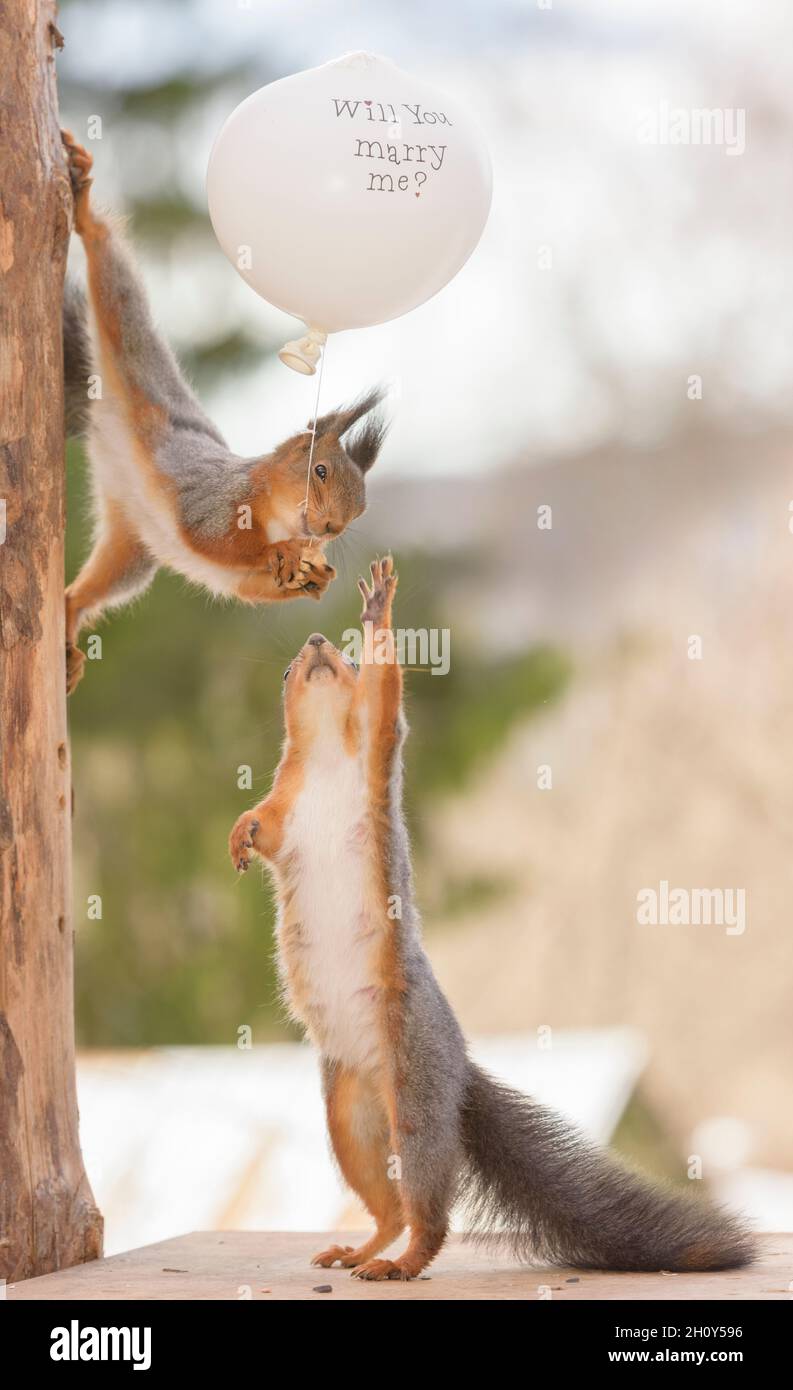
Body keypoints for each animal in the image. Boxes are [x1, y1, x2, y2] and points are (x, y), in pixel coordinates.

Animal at [59, 134, 388, 689]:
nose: (330, 529)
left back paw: (66, 633)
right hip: (126, 333)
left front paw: (318, 576)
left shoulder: (243, 579)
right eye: (320, 470)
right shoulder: (214, 502)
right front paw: (285, 554)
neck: (276, 511)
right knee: (110, 269)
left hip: (131, 549)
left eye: (362, 509)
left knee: (82, 593)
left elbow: (249, 588)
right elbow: (210, 538)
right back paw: (84, 205)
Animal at [230, 556, 755, 1278]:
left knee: (428, 1213)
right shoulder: (285, 806)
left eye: (342, 657)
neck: (330, 750)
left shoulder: (380, 746)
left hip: (414, 1093)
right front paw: (238, 836)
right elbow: (265, 824)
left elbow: (387, 694)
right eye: (290, 669)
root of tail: (458, 1074)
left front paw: (378, 611)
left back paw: (402, 1263)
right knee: (388, 1204)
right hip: (350, 1116)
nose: (312, 642)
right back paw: (360, 1249)